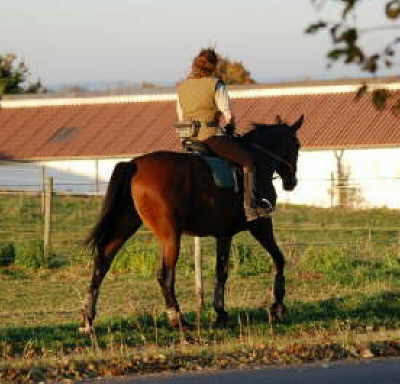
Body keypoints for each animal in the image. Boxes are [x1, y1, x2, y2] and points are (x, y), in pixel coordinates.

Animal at [80, 115, 304, 334]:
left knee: (103, 261)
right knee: (165, 275)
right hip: (170, 235)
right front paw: (277, 307)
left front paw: (220, 313)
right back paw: (178, 320)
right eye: (297, 145)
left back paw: (88, 319)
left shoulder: (224, 233)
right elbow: (279, 259)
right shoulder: (260, 225)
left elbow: (221, 271)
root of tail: (135, 163)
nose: (292, 182)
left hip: (127, 224)